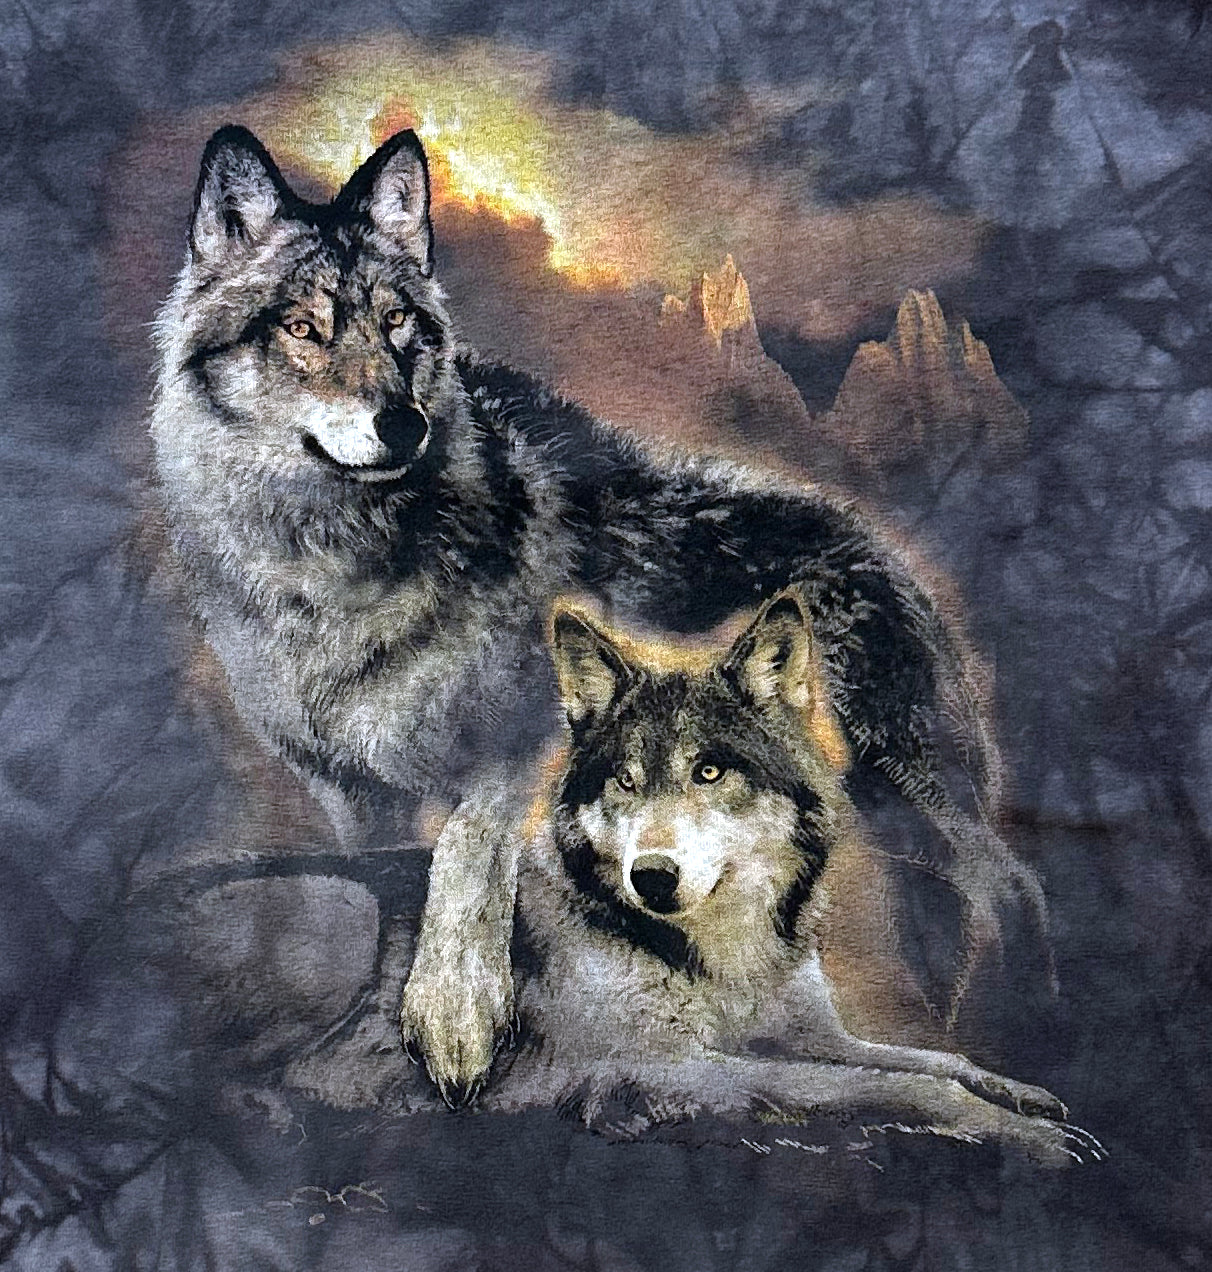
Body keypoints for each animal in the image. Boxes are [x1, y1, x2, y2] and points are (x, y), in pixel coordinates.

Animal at [150, 123, 1048, 1102]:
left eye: (397, 324)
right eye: (302, 328)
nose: (403, 424)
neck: (334, 569)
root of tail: (879, 543)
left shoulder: (507, 746)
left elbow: (463, 859)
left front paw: (457, 1018)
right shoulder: (351, 788)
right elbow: (386, 900)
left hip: (916, 793)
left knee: (1015, 888)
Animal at [492, 592, 1098, 1166]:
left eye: (708, 771)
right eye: (624, 780)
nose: (652, 877)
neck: (729, 966)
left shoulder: (810, 1034)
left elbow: (933, 1058)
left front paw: (1019, 1093)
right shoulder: (666, 1066)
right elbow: (896, 1086)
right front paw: (1031, 1136)